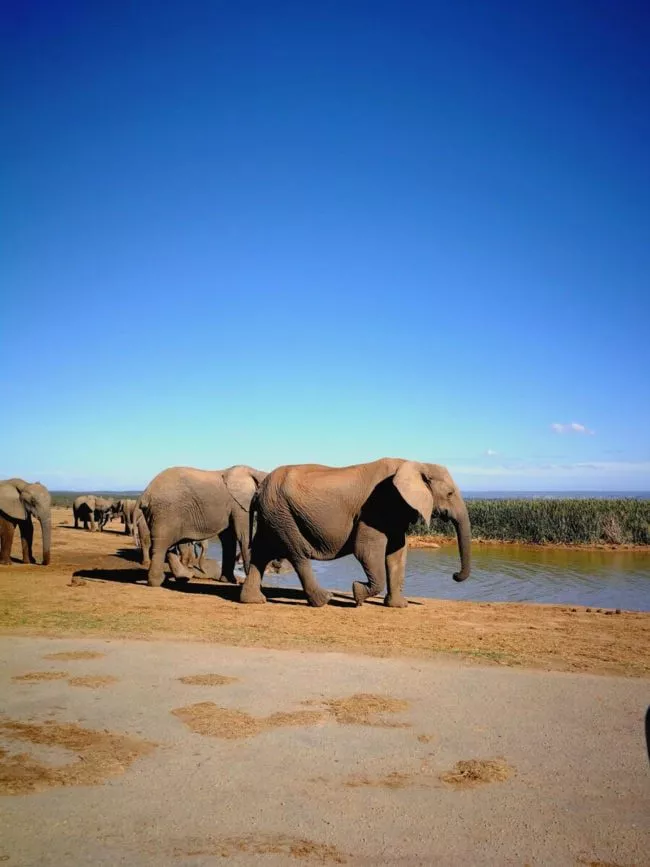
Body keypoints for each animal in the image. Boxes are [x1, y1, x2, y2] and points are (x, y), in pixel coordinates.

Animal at [138, 465, 267, 587]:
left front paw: (228, 580)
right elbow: (244, 537)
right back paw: (157, 582)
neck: (255, 471)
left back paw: (183, 577)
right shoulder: (239, 505)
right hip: (165, 513)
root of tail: (145, 494)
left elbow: (228, 539)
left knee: (168, 547)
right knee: (162, 545)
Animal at [240, 458, 471, 608]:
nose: (455, 575)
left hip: (273, 514)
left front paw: (399, 606)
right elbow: (366, 550)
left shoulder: (396, 511)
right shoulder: (377, 507)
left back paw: (253, 600)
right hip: (282, 513)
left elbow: (397, 553)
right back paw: (324, 600)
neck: (416, 463)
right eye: (450, 493)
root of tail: (259, 489)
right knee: (298, 554)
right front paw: (357, 594)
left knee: (261, 551)